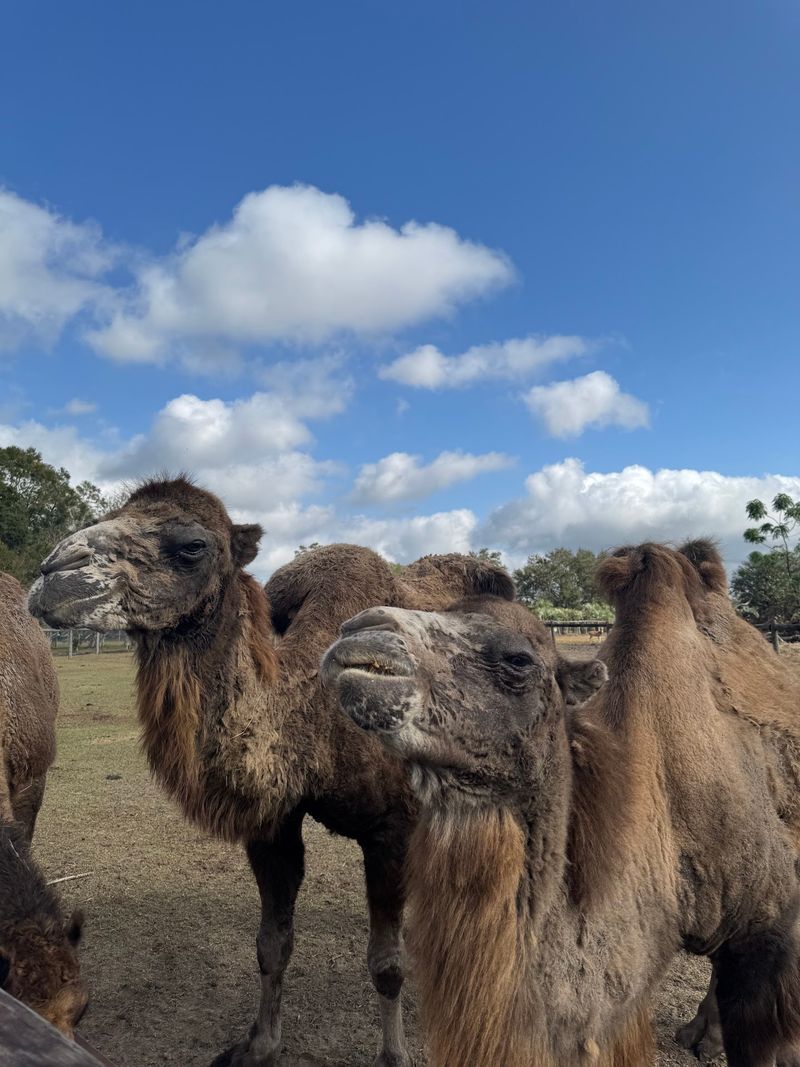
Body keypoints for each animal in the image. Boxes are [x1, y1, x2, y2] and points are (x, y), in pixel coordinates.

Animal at [27, 476, 514, 1067]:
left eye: (193, 546)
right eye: (106, 516)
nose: (52, 573)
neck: (315, 707)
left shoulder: (392, 826)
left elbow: (388, 965)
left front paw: (395, 1054)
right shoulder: (272, 823)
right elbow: (271, 945)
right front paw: (259, 1043)